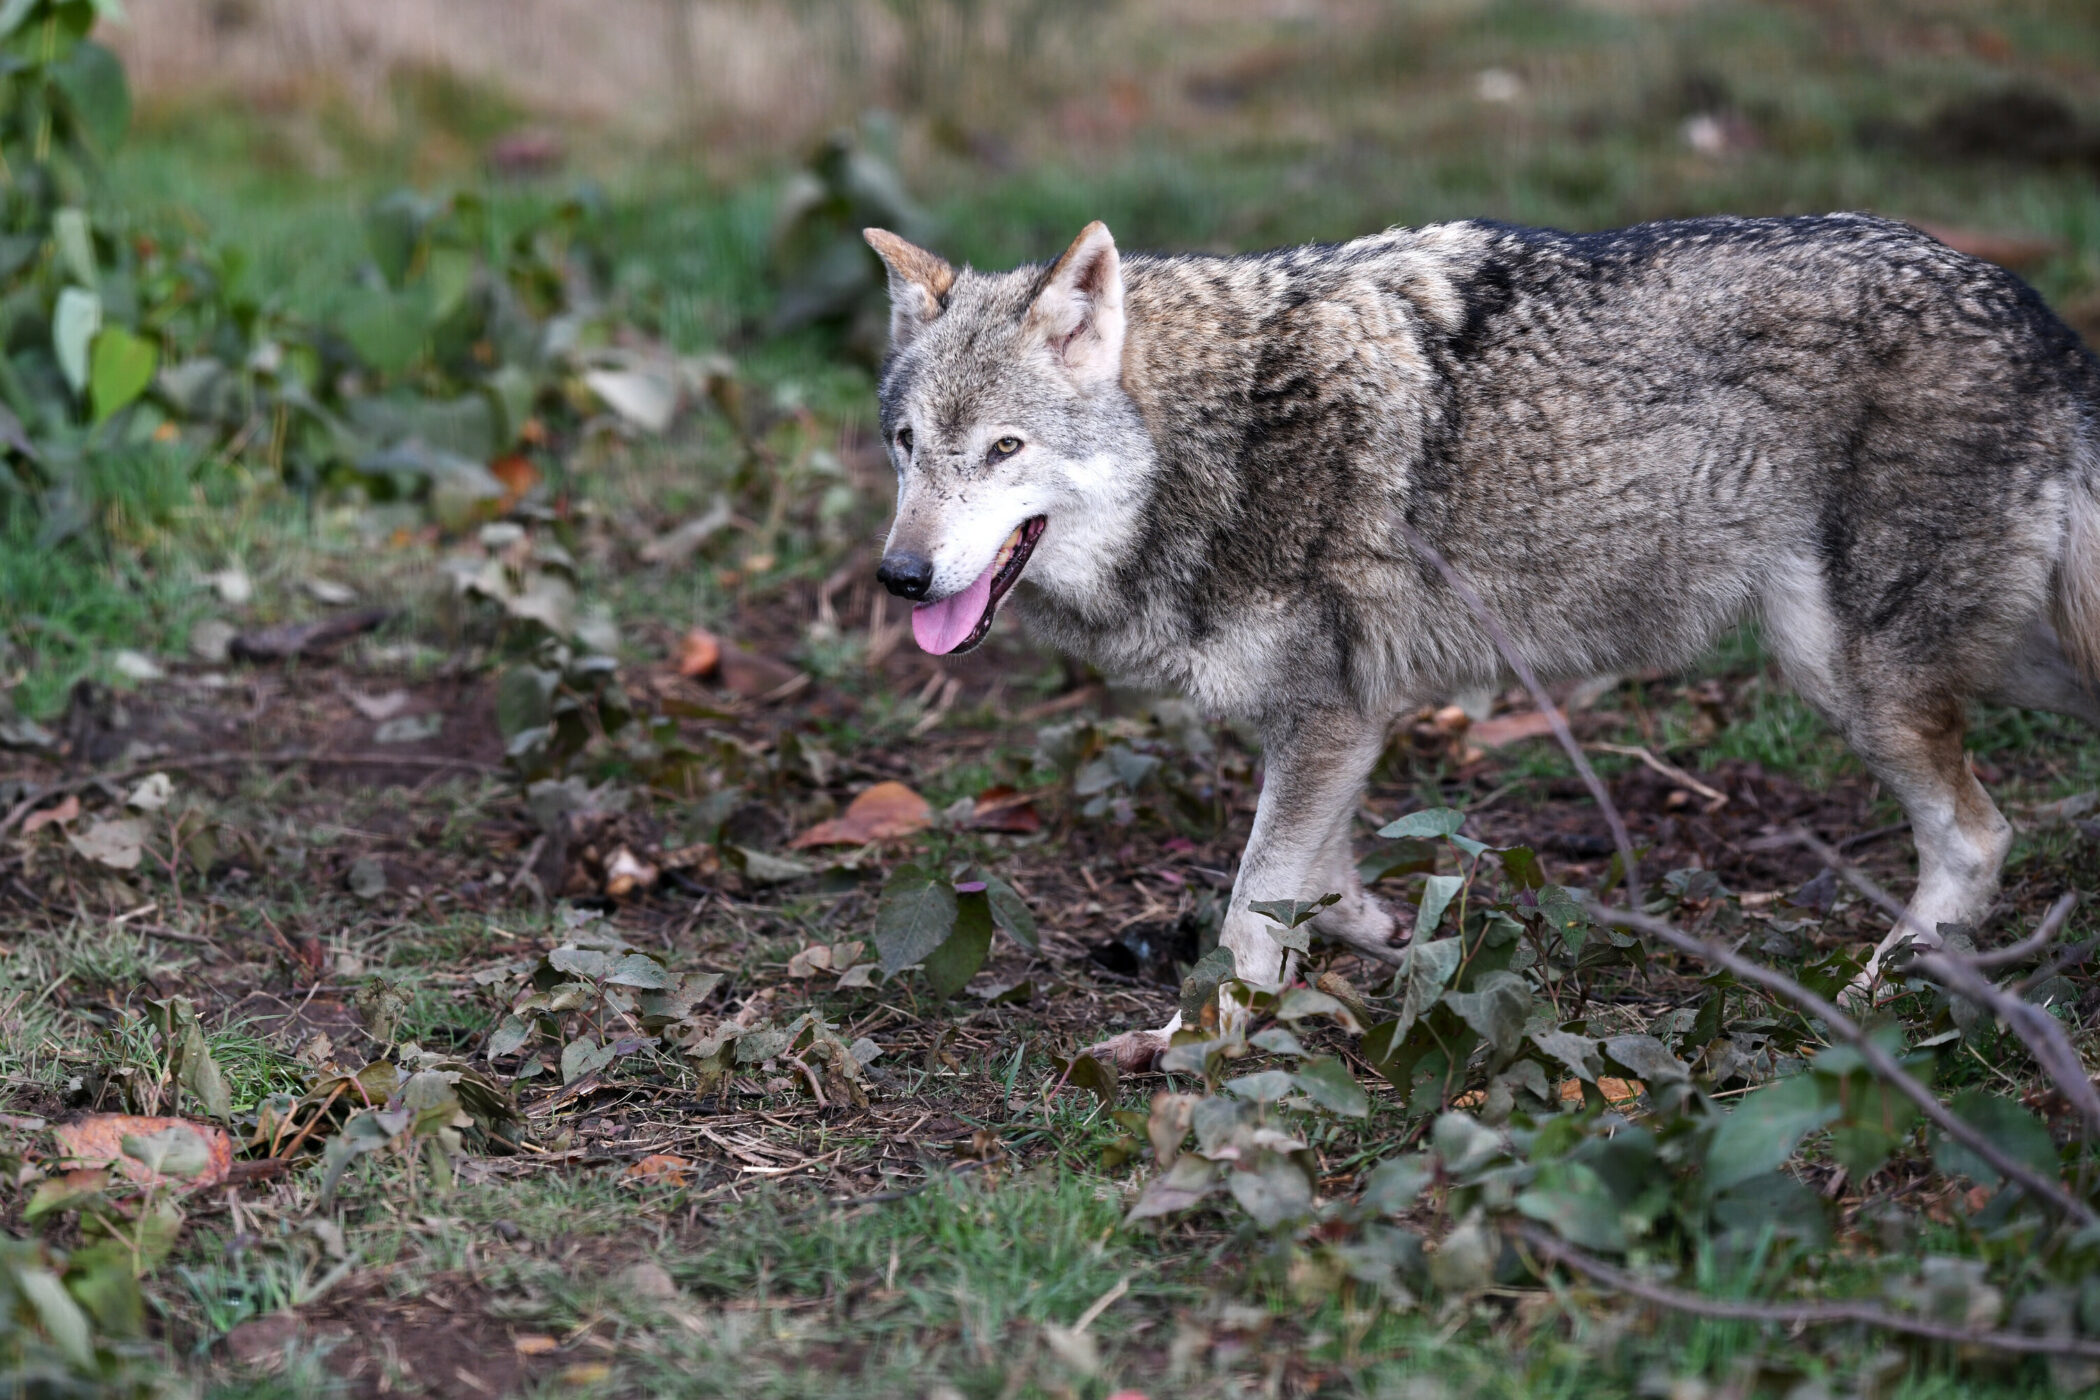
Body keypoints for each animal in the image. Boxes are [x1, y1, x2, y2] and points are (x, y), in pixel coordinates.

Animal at [862, 213, 2100, 1058]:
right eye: (907, 444)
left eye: (1005, 448)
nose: (900, 575)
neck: (1220, 438)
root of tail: (2039, 317)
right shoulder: (1338, 723)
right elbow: (1318, 877)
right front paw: (1374, 946)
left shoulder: (1325, 713)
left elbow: (1254, 899)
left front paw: (1198, 1041)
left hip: (1848, 673)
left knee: (1978, 834)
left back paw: (1885, 991)